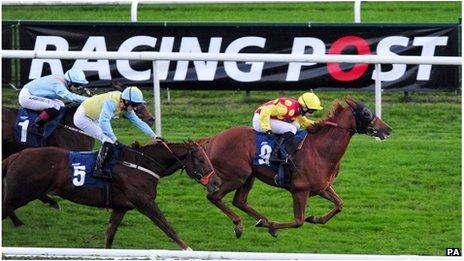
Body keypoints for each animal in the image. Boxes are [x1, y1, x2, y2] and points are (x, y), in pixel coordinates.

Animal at [1, 139, 215, 249]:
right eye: (201, 160)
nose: (215, 183)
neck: (142, 165)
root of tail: (17, 155)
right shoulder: (145, 203)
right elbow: (168, 228)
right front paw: (189, 250)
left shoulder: (121, 207)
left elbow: (109, 235)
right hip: (20, 193)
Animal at [198, 96, 392, 237]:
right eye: (366, 114)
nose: (388, 129)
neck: (320, 150)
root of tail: (213, 138)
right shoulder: (300, 190)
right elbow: (299, 221)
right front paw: (274, 225)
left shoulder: (322, 187)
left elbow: (339, 204)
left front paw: (314, 218)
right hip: (237, 176)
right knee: (214, 197)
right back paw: (240, 225)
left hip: (248, 176)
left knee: (239, 200)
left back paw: (262, 221)